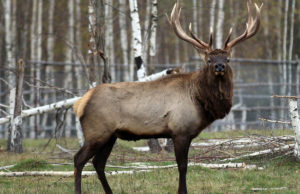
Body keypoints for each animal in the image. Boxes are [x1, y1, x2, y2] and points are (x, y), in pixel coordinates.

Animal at [73, 0, 262, 193]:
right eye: (208, 59)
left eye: (227, 59)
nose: (219, 66)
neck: (200, 100)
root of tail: (80, 103)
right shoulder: (180, 131)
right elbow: (182, 166)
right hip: (97, 132)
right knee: (79, 159)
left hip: (110, 135)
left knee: (98, 163)